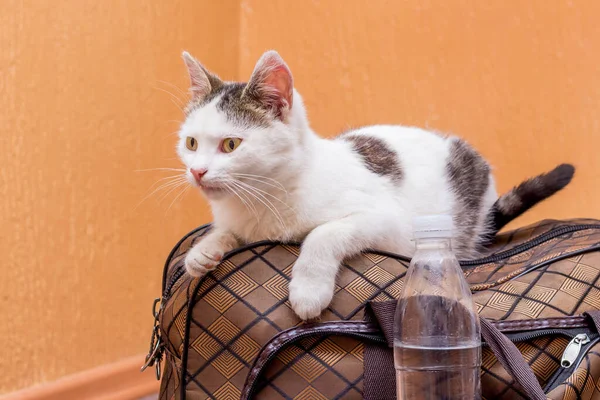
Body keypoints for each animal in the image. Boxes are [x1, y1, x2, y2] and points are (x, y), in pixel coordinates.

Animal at [176, 50, 576, 320]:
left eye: (231, 144)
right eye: (191, 143)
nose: (197, 172)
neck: (261, 201)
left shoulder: (387, 219)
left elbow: (323, 233)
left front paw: (308, 288)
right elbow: (225, 231)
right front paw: (203, 251)